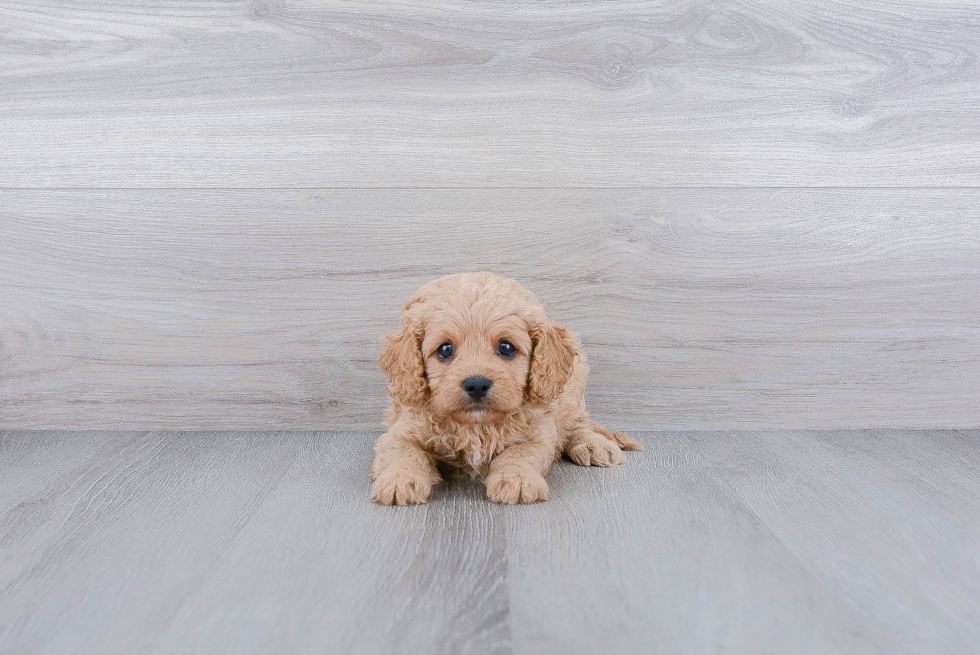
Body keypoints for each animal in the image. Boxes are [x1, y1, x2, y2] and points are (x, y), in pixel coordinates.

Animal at [372, 272, 640, 508]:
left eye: (506, 347)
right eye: (445, 350)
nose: (476, 384)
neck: (477, 426)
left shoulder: (538, 434)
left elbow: (520, 452)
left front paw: (517, 479)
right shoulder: (401, 431)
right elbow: (405, 452)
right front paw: (397, 479)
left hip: (573, 388)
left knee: (578, 424)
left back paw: (594, 445)